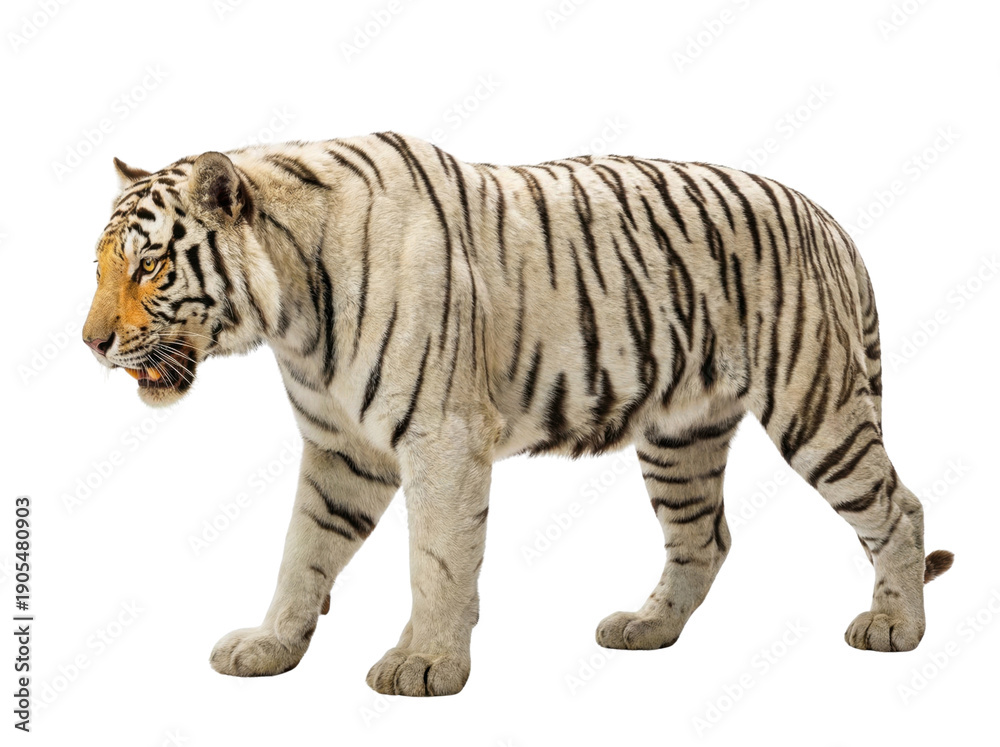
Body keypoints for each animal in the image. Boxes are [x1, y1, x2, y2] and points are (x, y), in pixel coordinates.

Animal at [83, 132, 953, 696]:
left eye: (150, 266)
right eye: (98, 267)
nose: (91, 343)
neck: (291, 314)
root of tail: (826, 218)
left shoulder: (439, 435)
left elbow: (436, 558)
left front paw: (425, 666)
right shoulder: (341, 450)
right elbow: (303, 550)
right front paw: (270, 645)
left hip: (814, 404)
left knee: (898, 506)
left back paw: (896, 627)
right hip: (680, 436)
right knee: (704, 537)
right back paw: (646, 628)